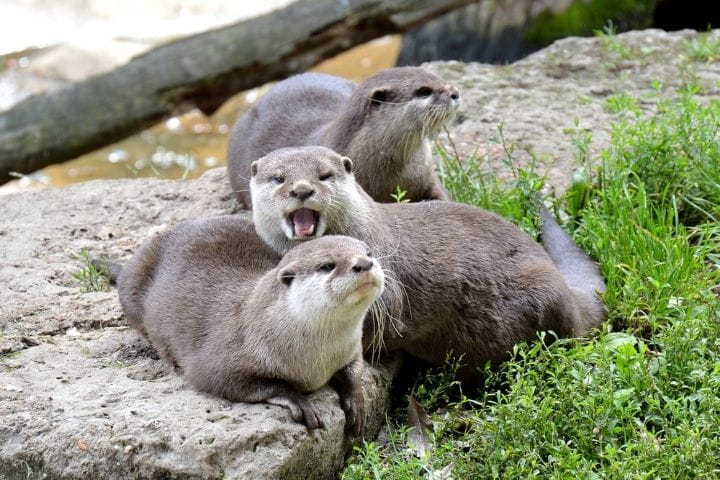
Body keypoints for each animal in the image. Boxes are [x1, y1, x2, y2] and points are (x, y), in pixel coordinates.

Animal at [116, 215, 384, 433]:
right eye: (327, 265)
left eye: (369, 252)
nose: (364, 263)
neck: (317, 359)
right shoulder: (217, 362)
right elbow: (256, 384)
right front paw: (298, 400)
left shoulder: (350, 348)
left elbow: (355, 370)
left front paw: (357, 400)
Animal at [248, 146, 607, 370]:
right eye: (278, 178)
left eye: (324, 175)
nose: (302, 189)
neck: (365, 230)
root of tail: (573, 298)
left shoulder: (387, 287)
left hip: (543, 291)